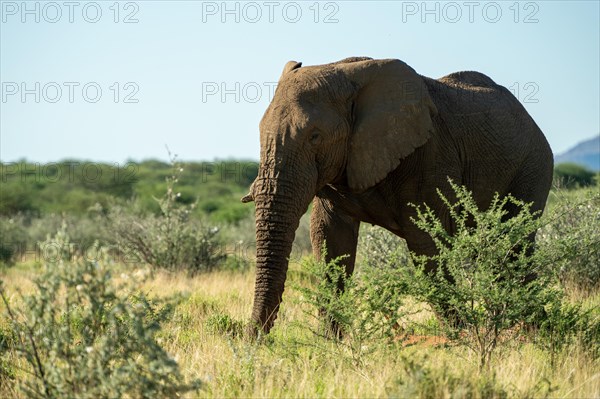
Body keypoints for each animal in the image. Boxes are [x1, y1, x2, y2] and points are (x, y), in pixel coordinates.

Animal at [243, 57, 552, 338]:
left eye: (315, 136)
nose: (254, 341)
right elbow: (330, 238)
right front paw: (332, 343)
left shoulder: (430, 154)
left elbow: (425, 244)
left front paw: (460, 337)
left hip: (533, 166)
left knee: (514, 247)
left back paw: (531, 332)